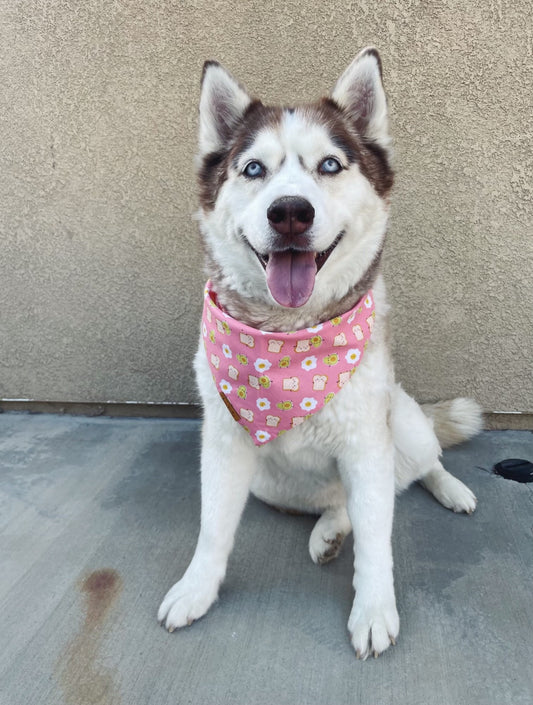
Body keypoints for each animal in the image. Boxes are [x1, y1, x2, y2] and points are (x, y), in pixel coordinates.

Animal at [158, 49, 482, 660]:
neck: (290, 345)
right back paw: (330, 529)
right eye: (253, 169)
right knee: (354, 504)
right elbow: (214, 528)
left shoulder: (366, 440)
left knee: (418, 467)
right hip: (273, 484)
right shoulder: (225, 443)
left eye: (330, 165)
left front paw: (374, 610)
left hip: (402, 423)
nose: (290, 211)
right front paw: (196, 589)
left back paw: (449, 490)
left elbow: (378, 543)